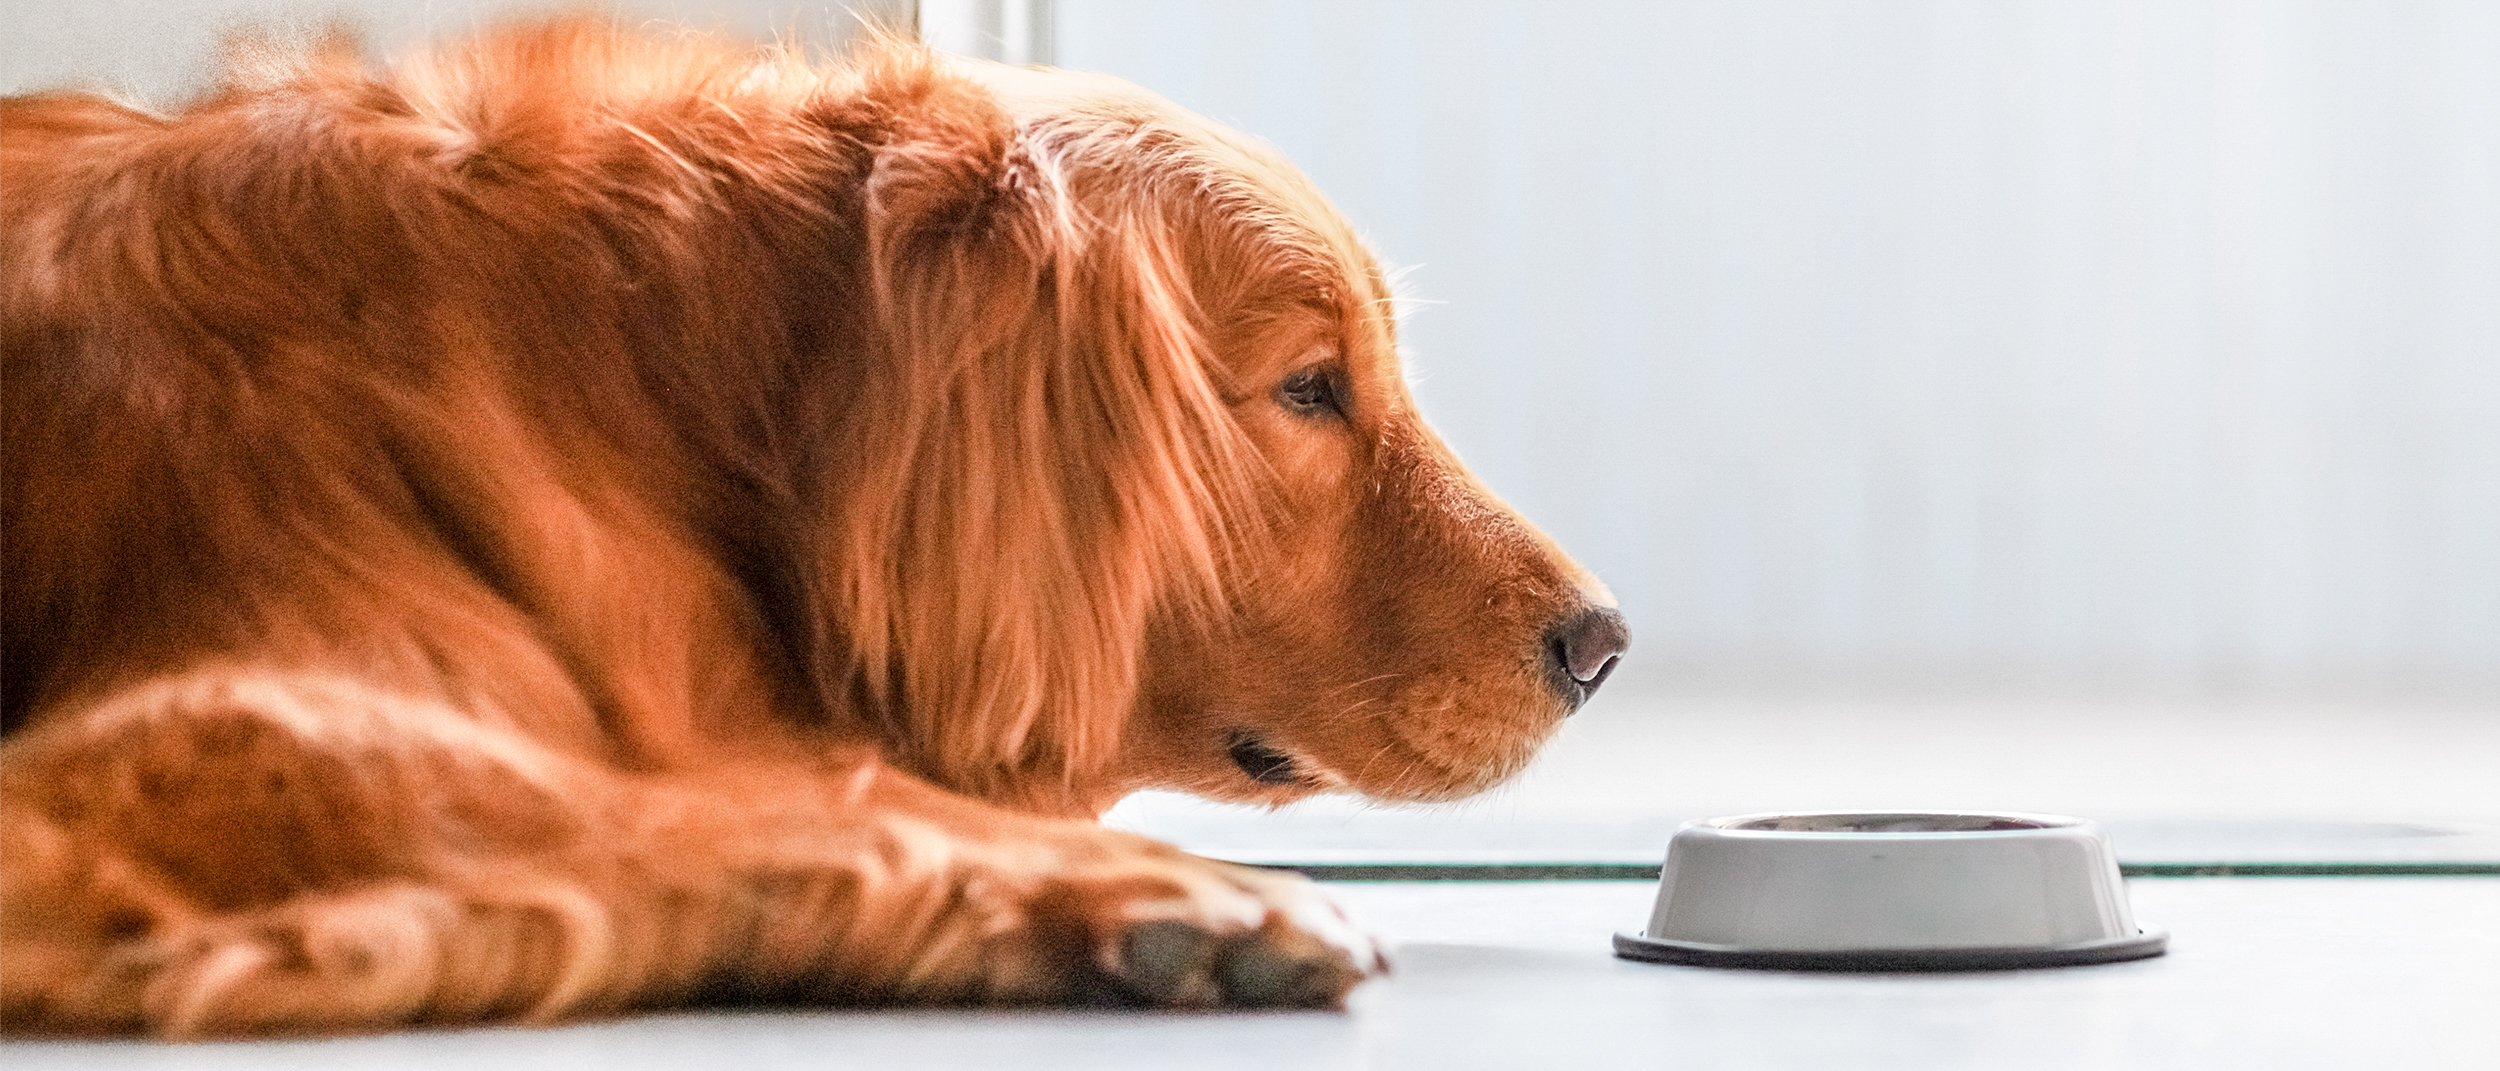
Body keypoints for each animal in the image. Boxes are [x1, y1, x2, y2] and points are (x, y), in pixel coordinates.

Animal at [0, 18, 1620, 1035]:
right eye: (1307, 387)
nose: (1603, 644)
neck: (642, 393)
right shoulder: (197, 726)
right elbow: (722, 797)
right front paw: (1180, 901)